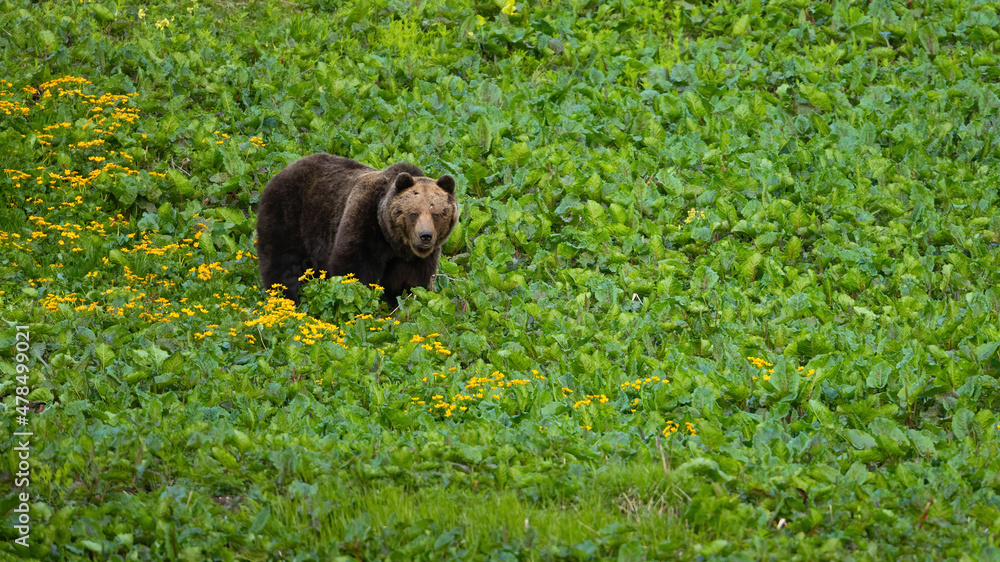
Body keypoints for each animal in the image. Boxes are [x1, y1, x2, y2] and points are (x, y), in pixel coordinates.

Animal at [255, 153, 458, 304]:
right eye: (413, 213)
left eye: (436, 214)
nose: (425, 236)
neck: (393, 240)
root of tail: (285, 168)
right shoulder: (364, 223)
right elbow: (354, 267)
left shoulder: (413, 259)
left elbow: (410, 281)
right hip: (289, 212)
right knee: (282, 260)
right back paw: (284, 297)